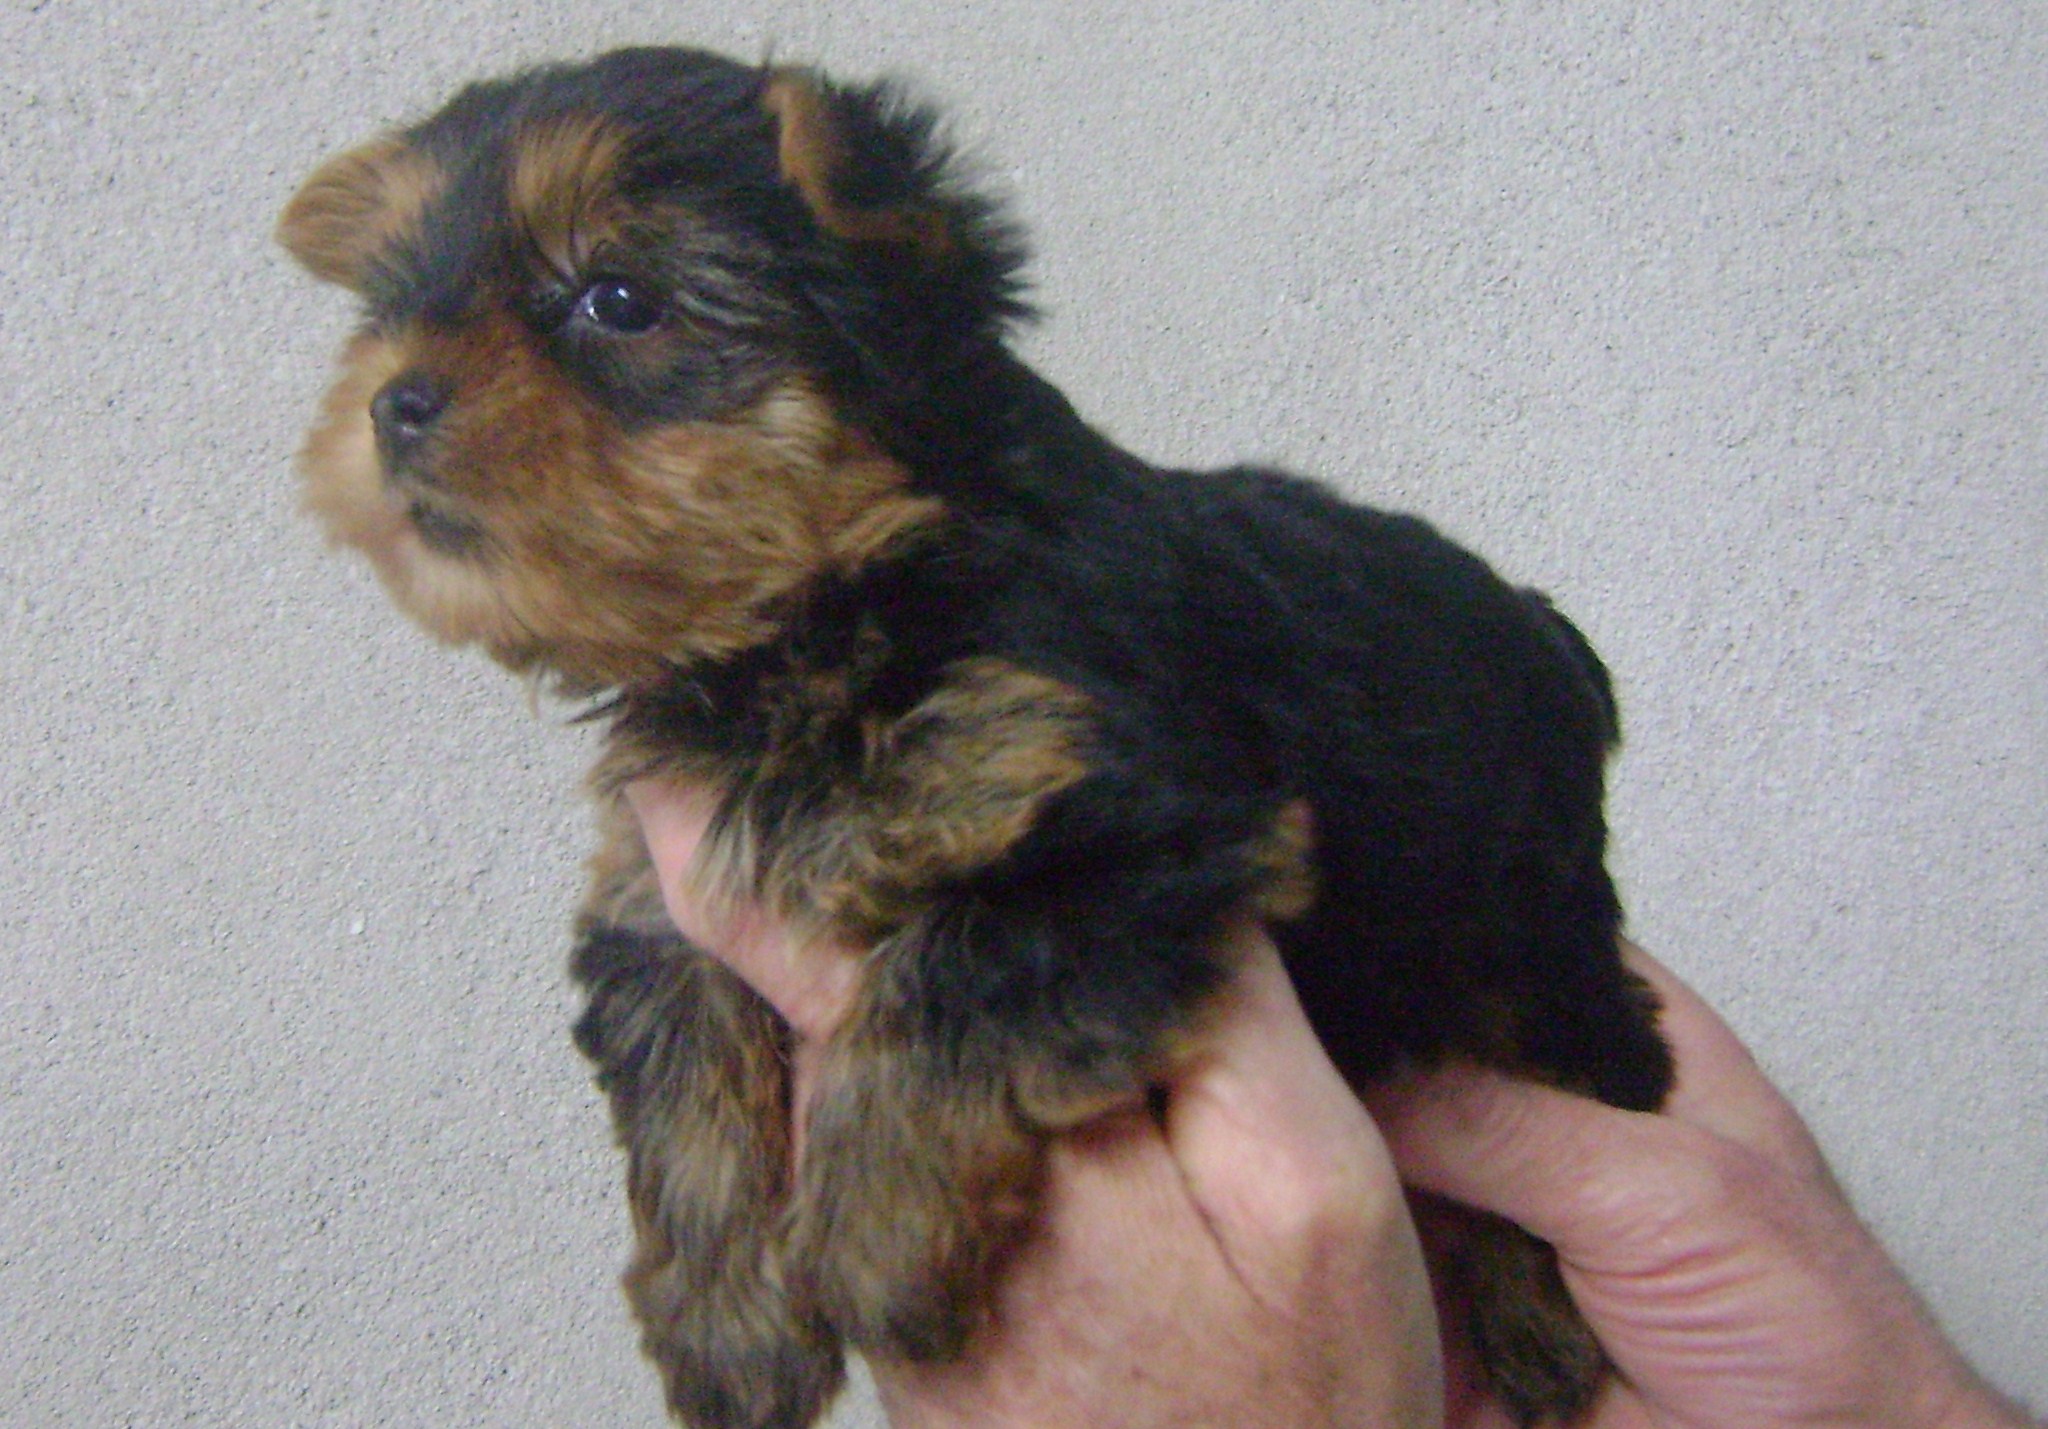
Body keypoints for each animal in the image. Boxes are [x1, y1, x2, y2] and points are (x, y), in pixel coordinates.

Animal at [278, 46, 1673, 1428]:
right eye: (386, 307)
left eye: (616, 300)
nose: (393, 402)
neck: (828, 612)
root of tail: (1537, 627)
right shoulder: (658, 890)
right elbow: (683, 1079)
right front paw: (727, 1326)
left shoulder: (1142, 813)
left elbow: (957, 962)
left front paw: (869, 1241)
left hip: (1524, 938)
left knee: (1592, 1064)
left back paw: (1538, 1318)